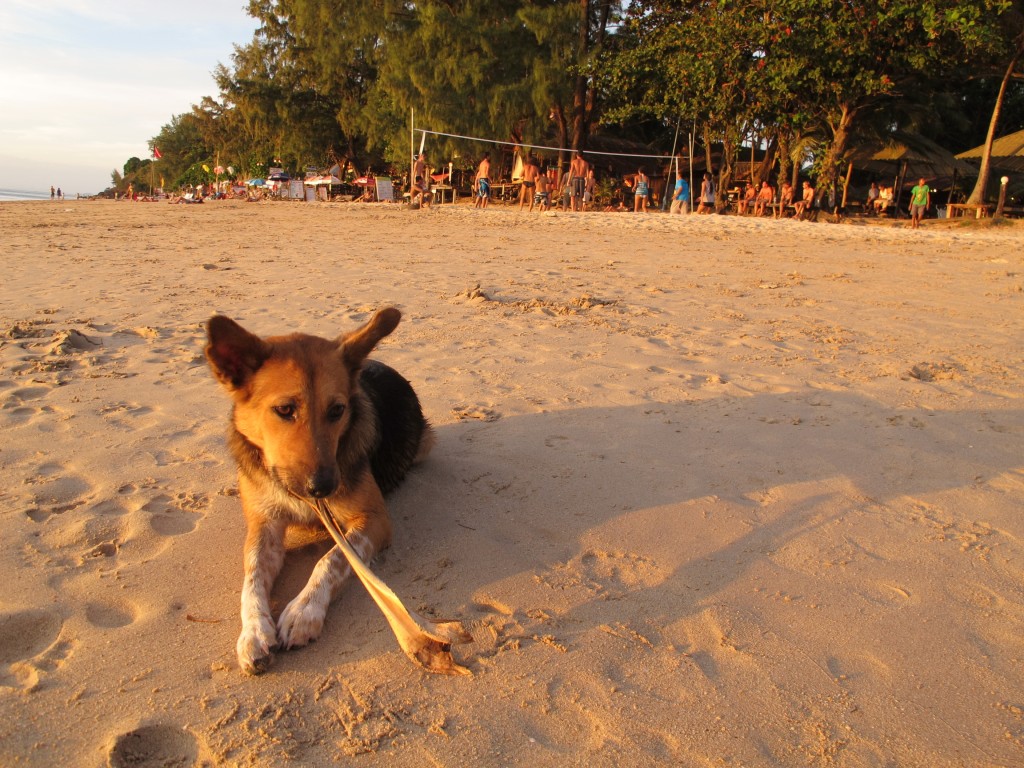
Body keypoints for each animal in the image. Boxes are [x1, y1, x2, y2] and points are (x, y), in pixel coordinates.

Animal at [205, 309, 434, 675]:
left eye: (337, 410)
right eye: (285, 410)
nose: (324, 487)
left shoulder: (375, 519)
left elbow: (332, 559)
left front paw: (304, 611)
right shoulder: (264, 527)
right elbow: (252, 576)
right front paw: (253, 631)